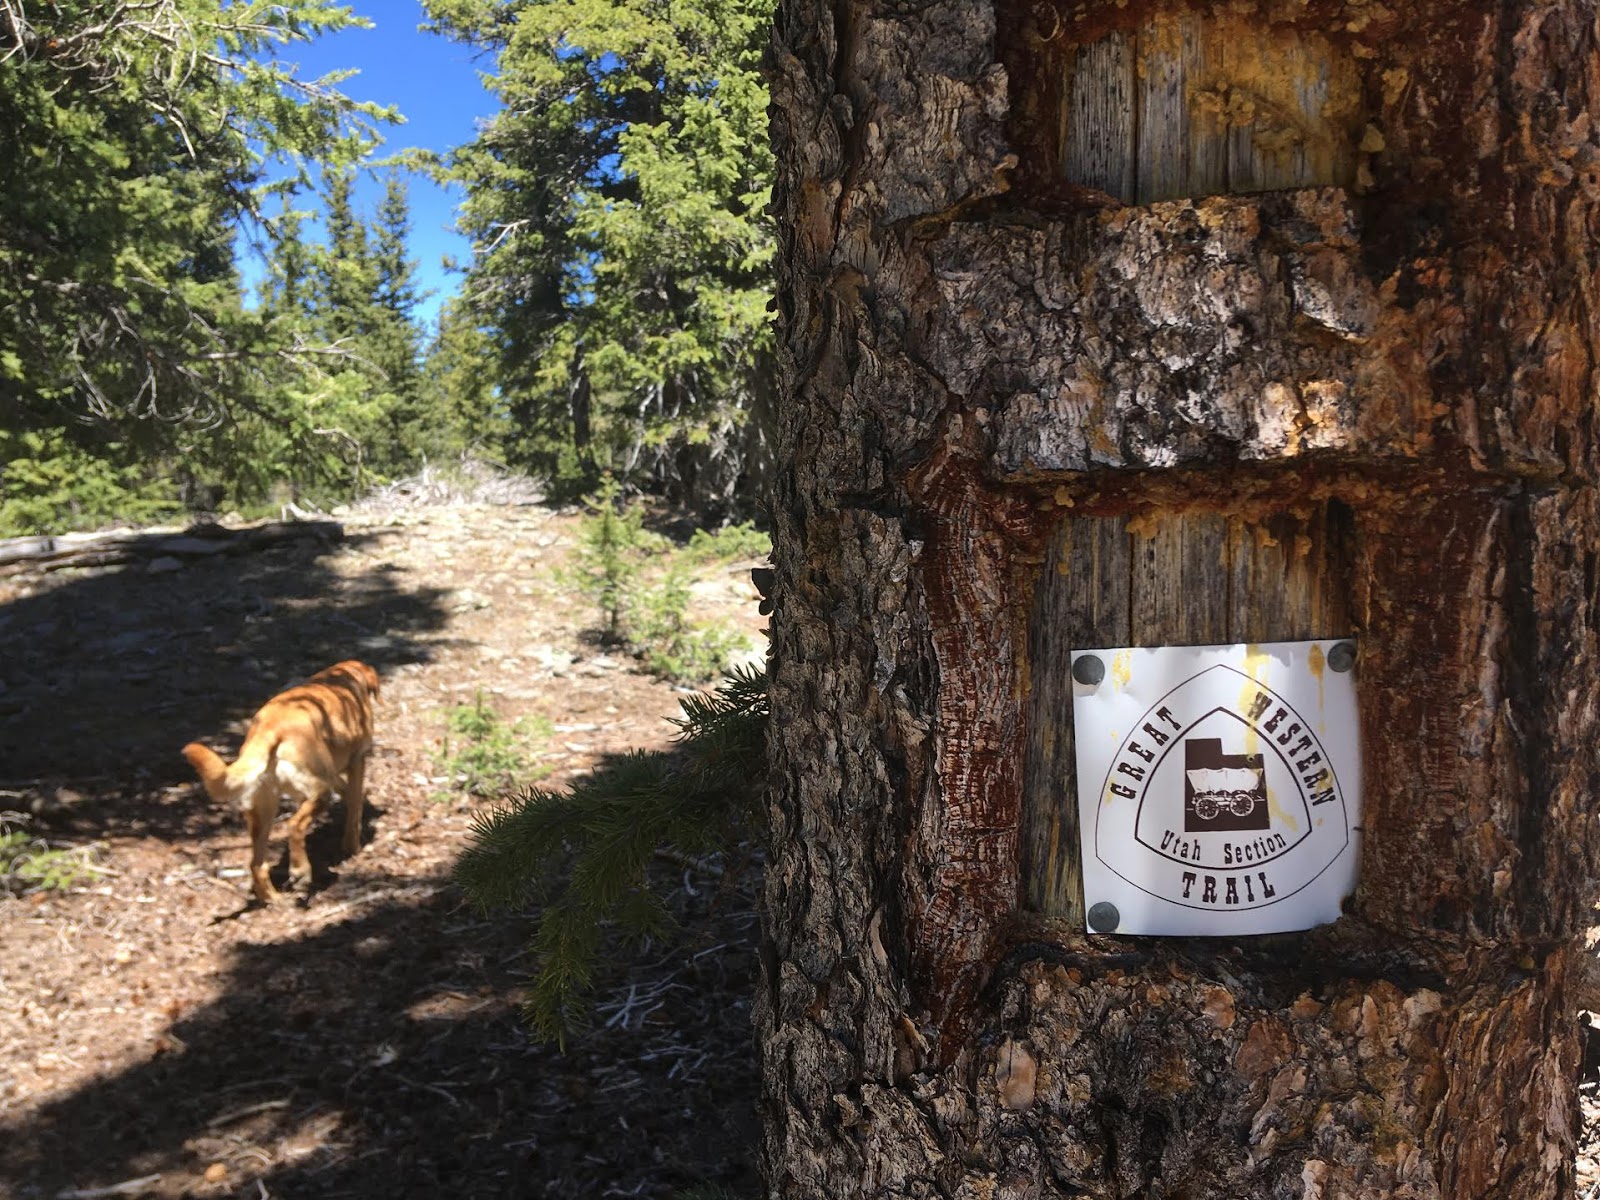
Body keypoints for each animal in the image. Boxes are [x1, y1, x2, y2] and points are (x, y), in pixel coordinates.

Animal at [183, 662, 379, 908]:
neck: (342, 676)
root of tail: (268, 729)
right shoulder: (357, 761)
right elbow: (354, 807)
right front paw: (353, 846)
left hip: (263, 812)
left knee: (256, 864)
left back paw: (272, 897)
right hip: (319, 792)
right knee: (294, 825)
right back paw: (300, 870)